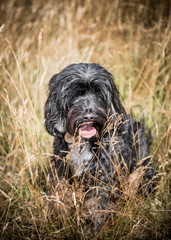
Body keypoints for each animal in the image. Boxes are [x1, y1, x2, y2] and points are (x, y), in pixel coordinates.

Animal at [44, 62, 156, 232]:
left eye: (99, 94)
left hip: (142, 169)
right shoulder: (61, 167)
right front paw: (58, 215)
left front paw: (95, 228)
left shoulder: (103, 174)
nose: (89, 116)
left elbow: (98, 202)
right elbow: (60, 191)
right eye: (76, 94)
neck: (84, 141)